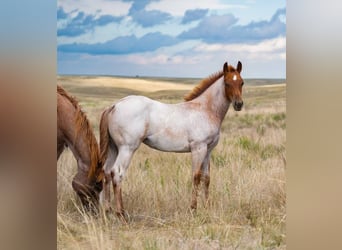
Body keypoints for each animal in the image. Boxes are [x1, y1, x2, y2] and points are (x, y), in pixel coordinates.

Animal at [98, 61, 243, 220]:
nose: (239, 104)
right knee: (117, 173)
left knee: (106, 172)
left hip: (113, 148)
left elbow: (206, 178)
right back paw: (121, 213)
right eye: (227, 83)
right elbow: (196, 177)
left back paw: (108, 210)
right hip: (127, 149)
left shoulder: (208, 150)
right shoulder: (198, 149)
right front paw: (193, 209)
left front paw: (207, 206)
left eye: (242, 82)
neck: (205, 110)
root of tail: (114, 106)